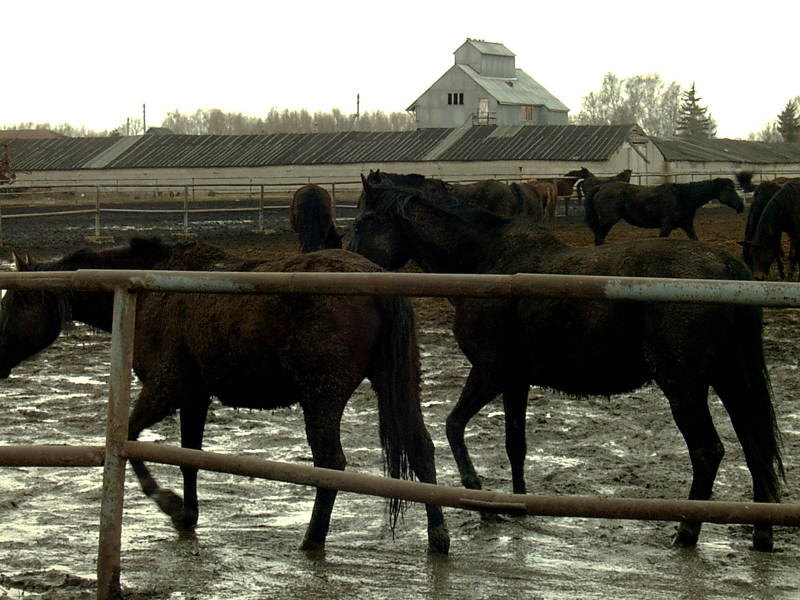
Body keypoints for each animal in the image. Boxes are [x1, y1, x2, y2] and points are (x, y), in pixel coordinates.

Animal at [0, 237, 450, 556]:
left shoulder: (164, 389)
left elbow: (129, 438)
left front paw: (167, 503)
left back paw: (312, 539)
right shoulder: (194, 397)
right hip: (396, 383)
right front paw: (187, 514)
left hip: (322, 398)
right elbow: (189, 458)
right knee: (421, 449)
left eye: (14, 302)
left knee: (330, 464)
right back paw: (438, 536)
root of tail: (376, 283)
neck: (148, 289)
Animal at [584, 177, 748, 245]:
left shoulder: (688, 226)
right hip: (608, 220)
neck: (683, 196)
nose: (741, 206)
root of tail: (601, 187)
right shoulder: (666, 226)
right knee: (599, 237)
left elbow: (695, 239)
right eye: (729, 189)